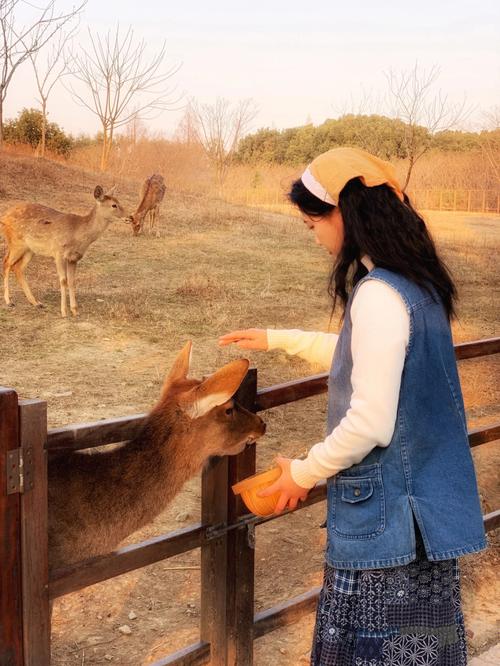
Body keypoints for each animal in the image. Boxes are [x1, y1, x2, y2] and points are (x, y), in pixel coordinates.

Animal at [2, 183, 127, 316]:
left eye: (119, 201)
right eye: (114, 205)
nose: (129, 217)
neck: (78, 234)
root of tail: (4, 217)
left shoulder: (74, 258)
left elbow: (72, 281)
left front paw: (75, 310)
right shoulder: (58, 253)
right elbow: (63, 280)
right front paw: (64, 311)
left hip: (30, 249)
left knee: (18, 268)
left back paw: (36, 303)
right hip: (16, 243)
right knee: (6, 263)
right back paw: (9, 301)